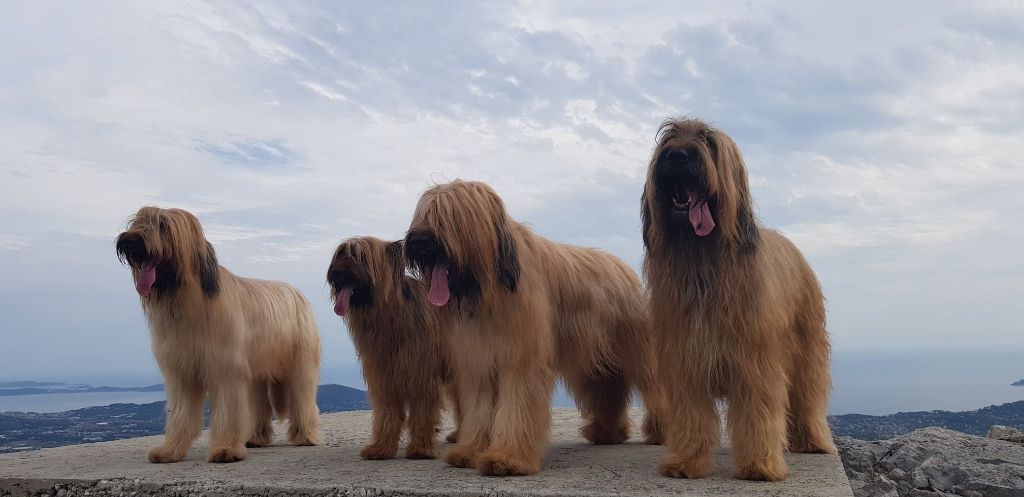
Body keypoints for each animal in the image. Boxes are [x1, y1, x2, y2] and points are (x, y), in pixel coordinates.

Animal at [112, 203, 321, 461]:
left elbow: (228, 411)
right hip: (258, 371)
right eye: (136, 222)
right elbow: (180, 413)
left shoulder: (225, 368)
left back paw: (306, 436)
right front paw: (170, 450)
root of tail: (295, 291)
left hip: (299, 364)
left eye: (162, 225)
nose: (129, 241)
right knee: (259, 402)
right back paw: (256, 437)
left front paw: (226, 449)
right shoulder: (181, 372)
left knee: (303, 397)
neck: (189, 300)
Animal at [327, 234, 460, 459]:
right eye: (339, 255)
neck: (390, 315)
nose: (335, 272)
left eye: (360, 256)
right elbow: (387, 413)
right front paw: (381, 448)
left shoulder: (421, 375)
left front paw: (420, 448)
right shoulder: (383, 375)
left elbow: (422, 412)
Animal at [399, 180, 663, 475]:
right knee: (608, 389)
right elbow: (479, 409)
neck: (489, 288)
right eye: (423, 214)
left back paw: (661, 433)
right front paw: (470, 451)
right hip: (595, 361)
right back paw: (607, 433)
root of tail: (622, 267)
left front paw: (507, 457)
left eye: (451, 215)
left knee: (655, 385)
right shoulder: (480, 362)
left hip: (635, 349)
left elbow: (517, 406)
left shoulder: (520, 359)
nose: (418, 242)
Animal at [643, 119, 835, 479]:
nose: (676, 156)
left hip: (806, 346)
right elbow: (691, 411)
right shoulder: (685, 357)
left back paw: (813, 440)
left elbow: (758, 410)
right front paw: (687, 461)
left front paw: (760, 464)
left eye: (707, 139)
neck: (703, 258)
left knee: (808, 392)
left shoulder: (756, 359)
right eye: (668, 137)